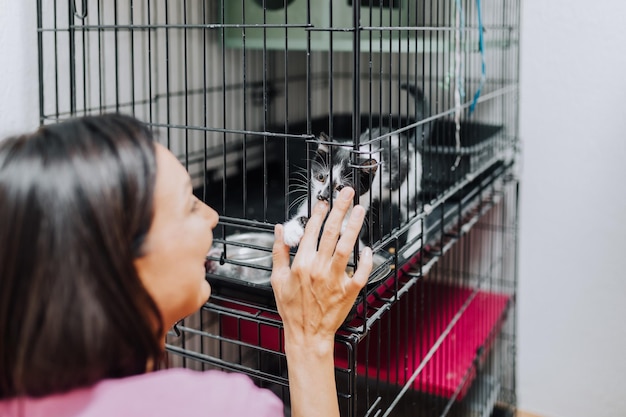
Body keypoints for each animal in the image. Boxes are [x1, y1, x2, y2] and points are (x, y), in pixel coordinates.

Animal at [282, 83, 428, 249]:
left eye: (341, 187)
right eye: (321, 177)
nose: (323, 196)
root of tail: (410, 144)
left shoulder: (363, 196)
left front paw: (345, 225)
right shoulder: (314, 193)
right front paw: (292, 230)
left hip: (408, 185)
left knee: (414, 211)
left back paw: (415, 242)